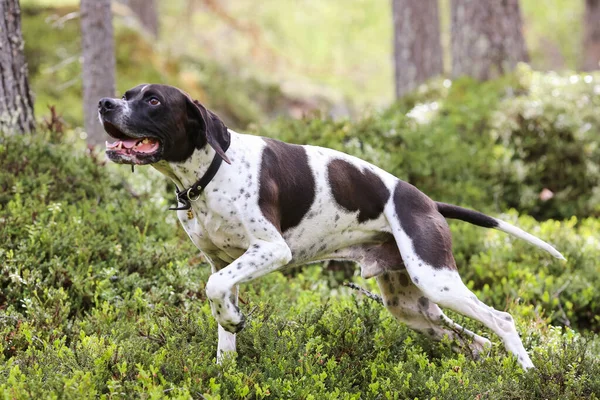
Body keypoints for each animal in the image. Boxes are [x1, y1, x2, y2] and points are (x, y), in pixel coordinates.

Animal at [99, 84, 568, 368]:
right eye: (126, 95)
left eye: (153, 101)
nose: (104, 104)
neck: (209, 173)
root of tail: (427, 201)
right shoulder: (223, 263)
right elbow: (220, 309)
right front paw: (227, 354)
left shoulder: (271, 250)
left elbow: (213, 292)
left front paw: (233, 321)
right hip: (412, 306)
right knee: (475, 341)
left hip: (435, 278)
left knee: (501, 321)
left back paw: (527, 375)